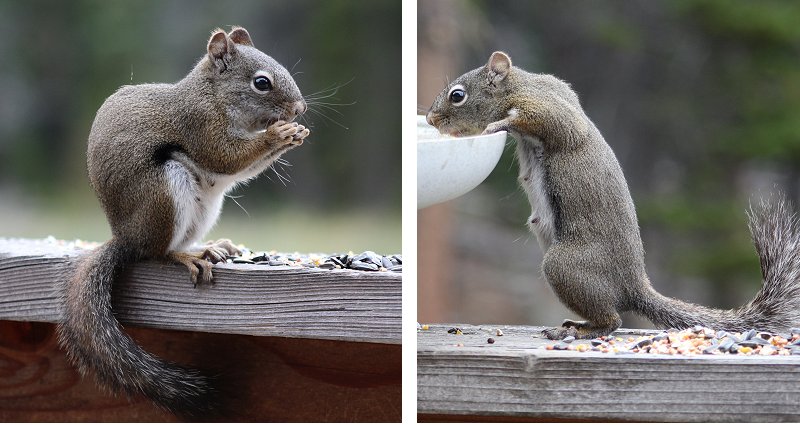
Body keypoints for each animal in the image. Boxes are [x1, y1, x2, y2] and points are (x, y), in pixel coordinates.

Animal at [57, 26, 310, 414]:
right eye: (261, 83)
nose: (299, 108)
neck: (214, 97)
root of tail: (126, 237)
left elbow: (241, 168)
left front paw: (294, 133)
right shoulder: (198, 125)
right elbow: (225, 157)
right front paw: (277, 134)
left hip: (205, 209)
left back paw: (209, 248)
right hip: (164, 193)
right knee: (157, 252)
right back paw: (186, 257)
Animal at [424, 51, 800, 340]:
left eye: (457, 95)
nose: (430, 119)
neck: (522, 84)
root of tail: (633, 286)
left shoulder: (549, 108)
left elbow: (551, 125)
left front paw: (497, 125)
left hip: (566, 266)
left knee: (613, 320)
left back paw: (580, 331)